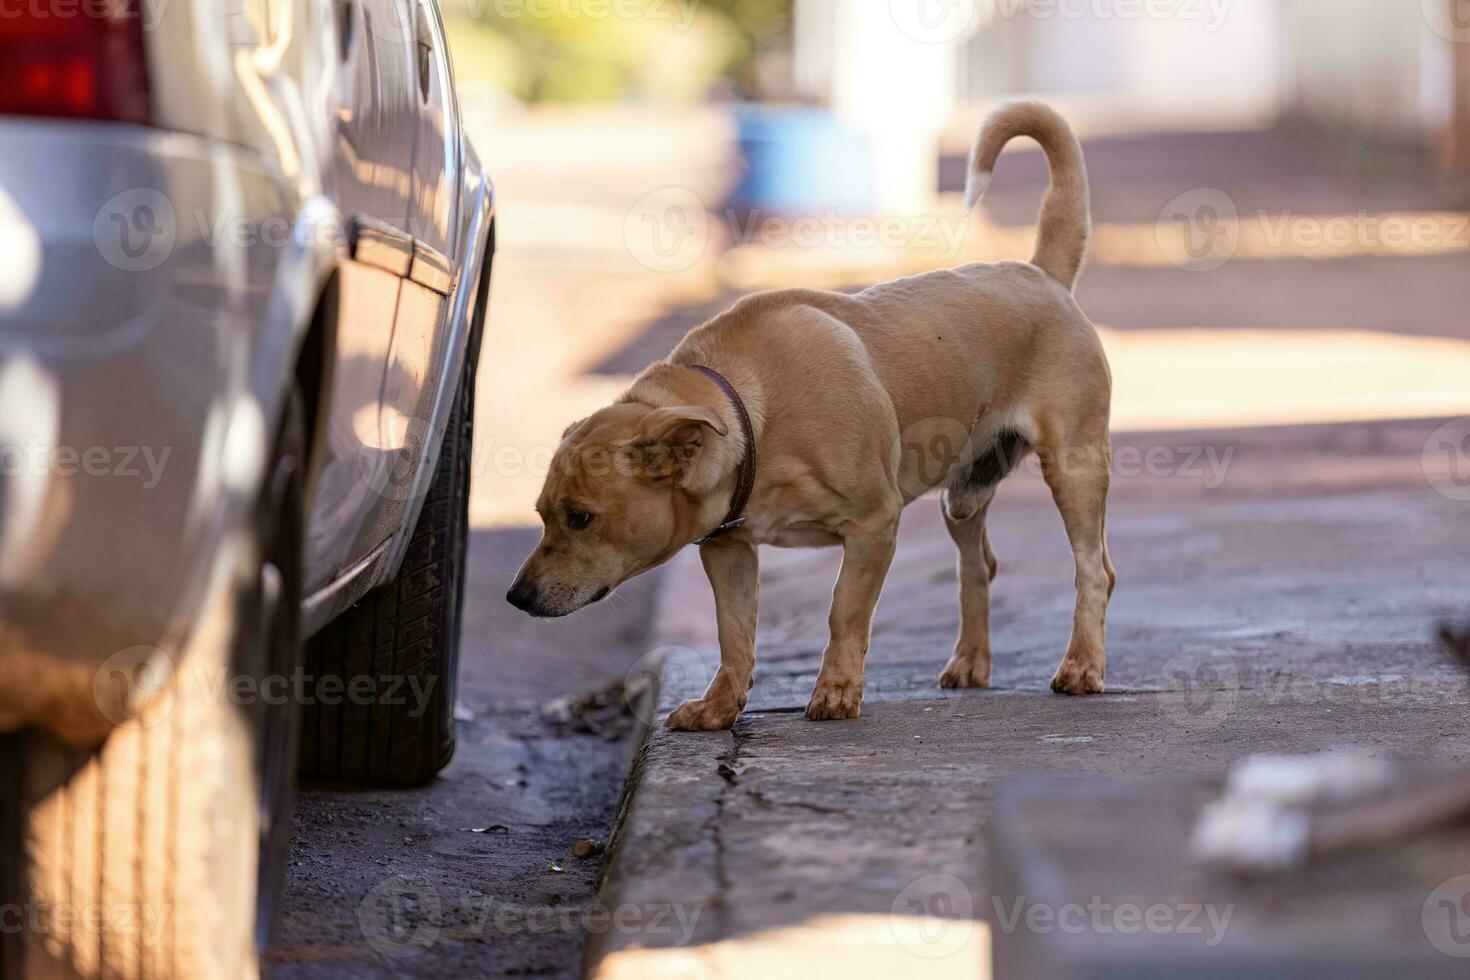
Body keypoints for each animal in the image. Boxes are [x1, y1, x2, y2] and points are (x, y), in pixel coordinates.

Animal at [508, 99, 1111, 731]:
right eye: (542, 515)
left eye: (580, 518)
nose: (515, 597)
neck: (752, 415)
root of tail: (1042, 274)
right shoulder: (728, 551)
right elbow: (734, 634)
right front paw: (719, 706)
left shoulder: (874, 525)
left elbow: (844, 610)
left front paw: (838, 690)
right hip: (963, 497)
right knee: (978, 568)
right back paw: (971, 662)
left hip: (1074, 469)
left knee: (1094, 571)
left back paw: (1082, 666)